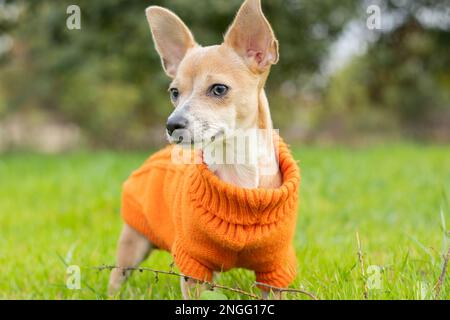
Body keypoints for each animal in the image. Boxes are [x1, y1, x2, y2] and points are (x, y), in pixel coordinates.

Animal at [107, 0, 300, 300]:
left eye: (219, 89)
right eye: (174, 92)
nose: (172, 124)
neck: (238, 172)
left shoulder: (274, 268)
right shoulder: (194, 264)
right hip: (134, 243)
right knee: (117, 275)